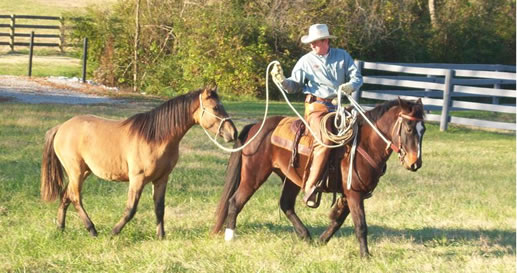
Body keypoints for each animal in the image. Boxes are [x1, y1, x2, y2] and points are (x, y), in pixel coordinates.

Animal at [41, 86, 237, 237]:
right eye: (215, 108)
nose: (233, 133)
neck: (156, 138)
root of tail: (61, 127)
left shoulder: (162, 179)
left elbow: (159, 208)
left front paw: (161, 236)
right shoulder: (137, 179)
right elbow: (131, 209)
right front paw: (114, 232)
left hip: (83, 172)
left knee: (66, 196)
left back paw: (61, 227)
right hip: (76, 171)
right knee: (75, 198)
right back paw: (92, 230)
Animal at [212, 97, 426, 255]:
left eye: (422, 130)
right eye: (409, 128)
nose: (415, 163)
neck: (364, 144)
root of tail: (257, 126)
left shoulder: (350, 194)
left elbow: (338, 220)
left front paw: (322, 241)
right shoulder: (354, 193)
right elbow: (361, 225)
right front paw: (366, 256)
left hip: (291, 179)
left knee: (286, 204)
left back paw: (305, 236)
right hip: (253, 176)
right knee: (235, 201)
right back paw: (230, 237)